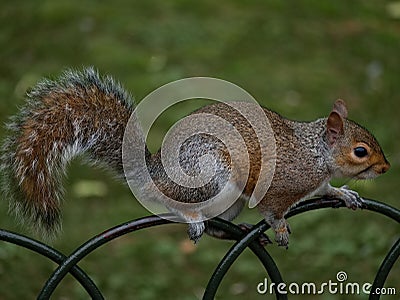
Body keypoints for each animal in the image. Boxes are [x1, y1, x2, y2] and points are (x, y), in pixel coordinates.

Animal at [0, 68, 388, 248]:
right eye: (360, 151)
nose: (385, 168)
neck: (314, 152)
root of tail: (155, 173)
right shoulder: (281, 185)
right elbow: (274, 211)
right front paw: (280, 230)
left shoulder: (316, 180)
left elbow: (327, 189)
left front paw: (345, 193)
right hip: (209, 176)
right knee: (179, 207)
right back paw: (194, 218)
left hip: (230, 201)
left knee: (219, 226)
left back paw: (238, 232)